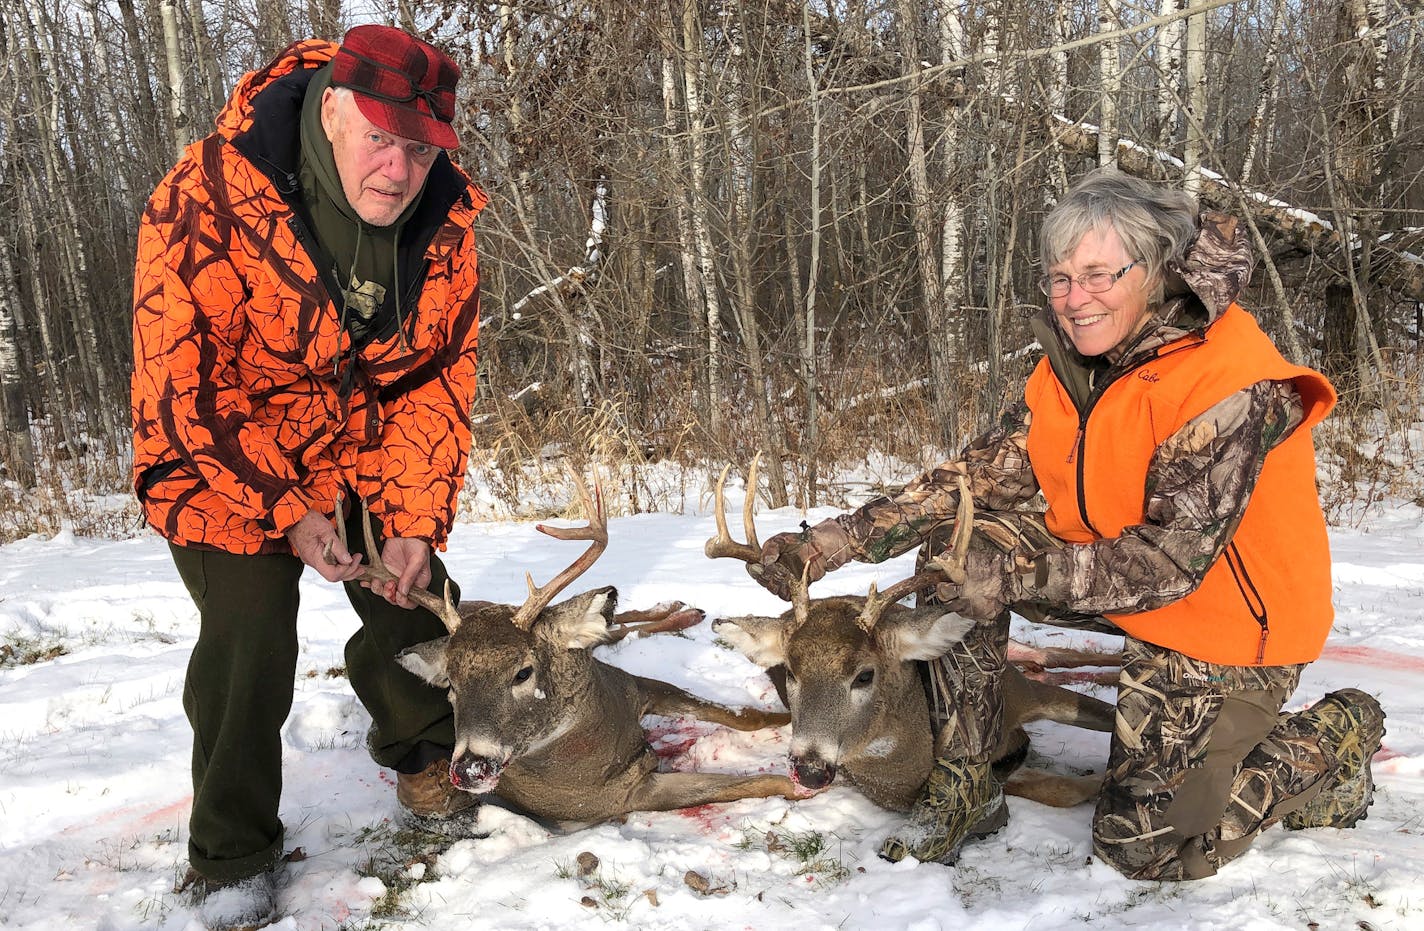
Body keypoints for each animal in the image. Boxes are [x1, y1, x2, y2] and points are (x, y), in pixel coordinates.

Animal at [347, 469, 803, 825]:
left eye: (523, 671)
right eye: (450, 686)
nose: (470, 767)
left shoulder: (634, 684)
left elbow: (745, 717)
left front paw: (788, 718)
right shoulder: (620, 797)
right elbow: (759, 783)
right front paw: (803, 783)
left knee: (616, 622)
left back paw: (680, 608)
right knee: (619, 628)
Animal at [706, 464, 1116, 814]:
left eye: (865, 675)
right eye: (789, 672)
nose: (809, 770)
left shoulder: (1025, 693)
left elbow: (1109, 721)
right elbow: (1060, 790)